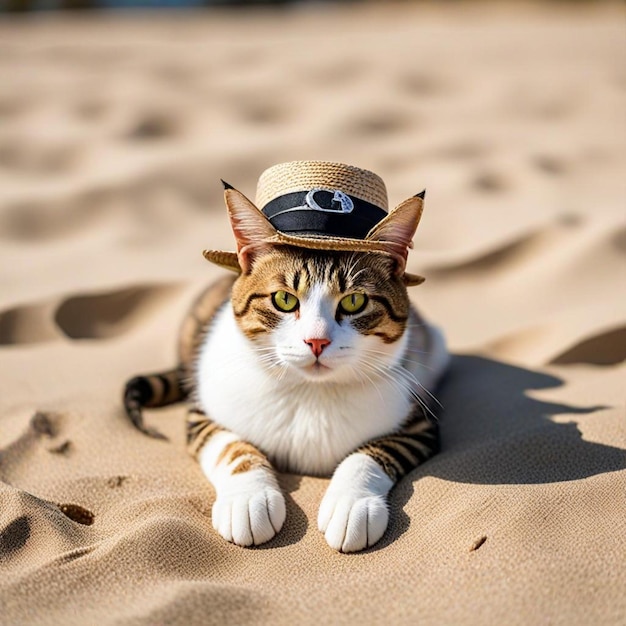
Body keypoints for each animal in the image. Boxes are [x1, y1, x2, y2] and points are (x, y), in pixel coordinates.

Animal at [122, 165, 446, 552]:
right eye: (284, 299)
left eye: (354, 302)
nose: (317, 341)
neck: (308, 393)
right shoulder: (202, 413)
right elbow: (232, 448)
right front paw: (247, 501)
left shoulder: (418, 423)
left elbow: (371, 453)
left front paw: (351, 505)